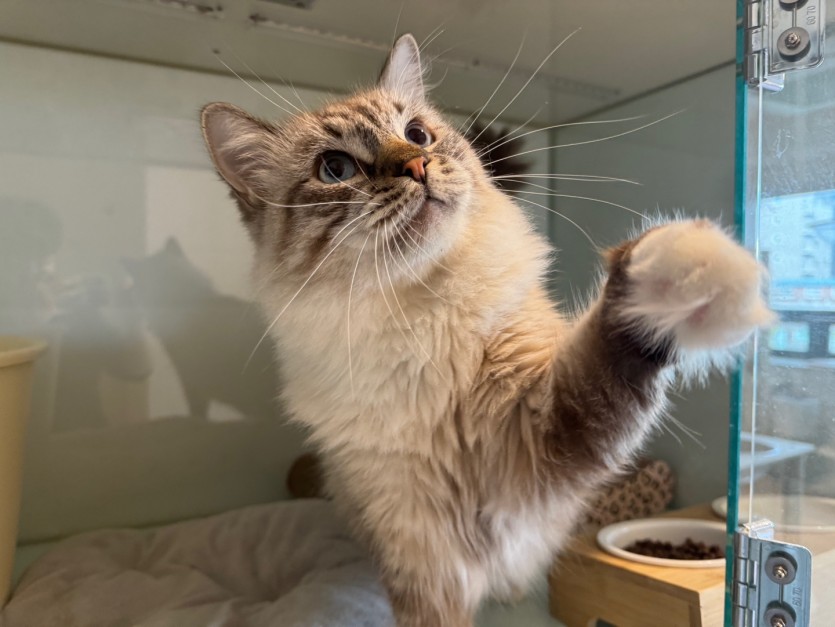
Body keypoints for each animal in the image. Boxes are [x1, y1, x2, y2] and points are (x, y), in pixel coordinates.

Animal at [200, 34, 772, 627]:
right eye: (335, 168)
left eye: (417, 134)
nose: (417, 164)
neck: (420, 318)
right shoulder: (417, 548)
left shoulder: (542, 434)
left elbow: (610, 344)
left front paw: (689, 263)